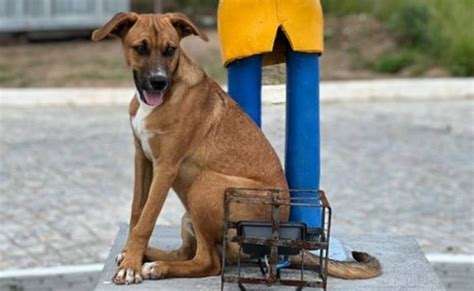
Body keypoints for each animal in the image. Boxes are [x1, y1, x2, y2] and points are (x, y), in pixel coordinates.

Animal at [92, 12, 382, 286]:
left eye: (170, 49)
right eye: (140, 48)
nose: (158, 82)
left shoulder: (166, 166)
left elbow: (146, 220)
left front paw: (131, 265)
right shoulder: (142, 159)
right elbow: (136, 213)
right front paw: (130, 255)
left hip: (205, 185)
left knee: (209, 262)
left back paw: (156, 266)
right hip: (192, 212)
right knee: (189, 252)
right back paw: (150, 257)